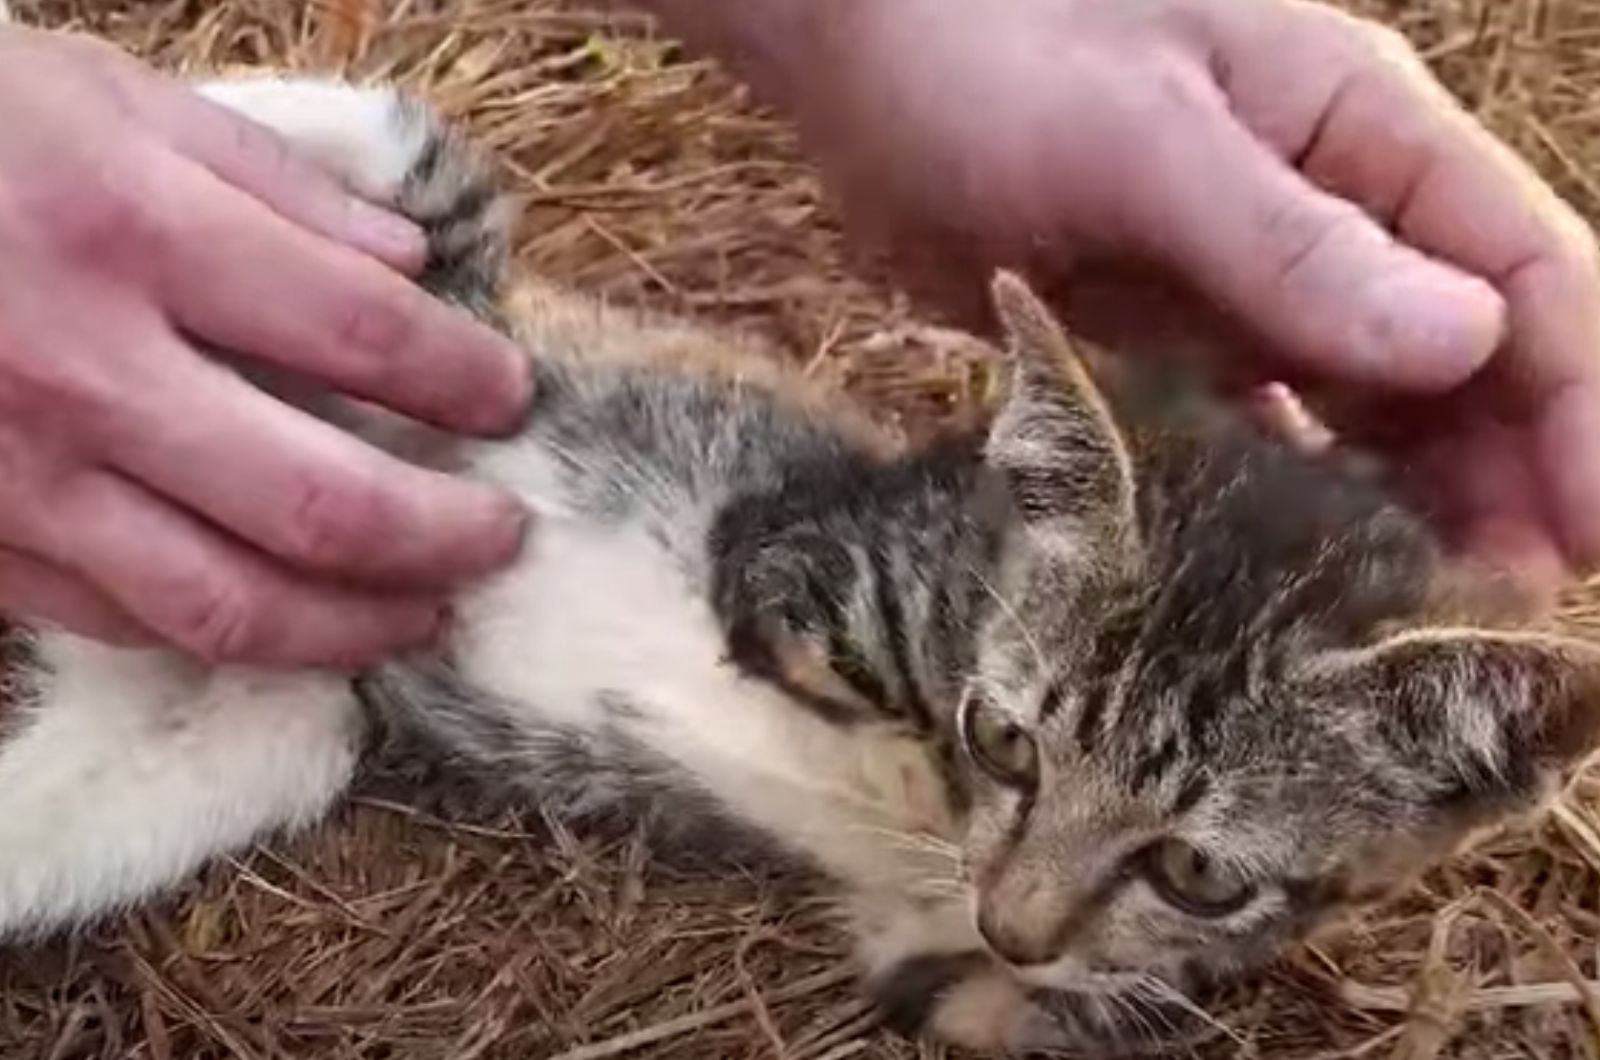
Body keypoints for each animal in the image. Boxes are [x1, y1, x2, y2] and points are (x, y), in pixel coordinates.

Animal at [3, 70, 1600, 1056]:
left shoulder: (962, 963)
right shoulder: (808, 550)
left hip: (262, 724)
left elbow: (991, 995)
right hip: (415, 259)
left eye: (1198, 869)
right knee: (365, 141)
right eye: (1008, 740)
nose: (1011, 921)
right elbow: (829, 634)